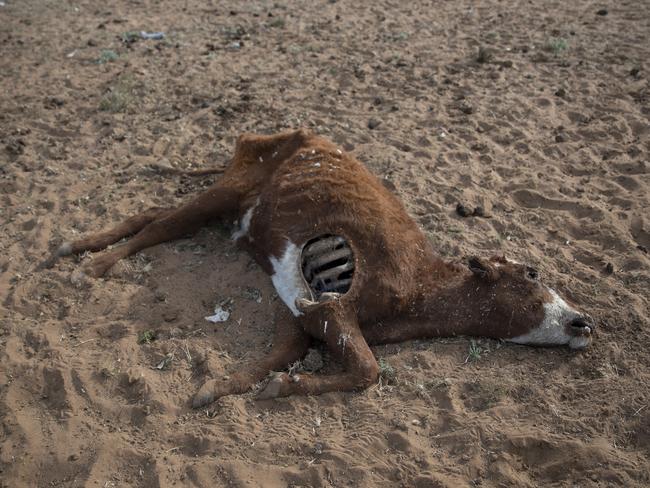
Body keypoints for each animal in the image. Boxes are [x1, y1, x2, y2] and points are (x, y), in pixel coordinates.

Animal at [58, 127, 596, 406]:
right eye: (532, 274)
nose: (584, 322)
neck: (421, 285)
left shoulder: (300, 311)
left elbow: (282, 356)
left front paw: (224, 388)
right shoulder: (331, 309)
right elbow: (367, 370)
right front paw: (281, 386)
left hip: (229, 207)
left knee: (156, 216)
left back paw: (80, 249)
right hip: (228, 188)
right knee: (160, 227)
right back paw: (91, 263)